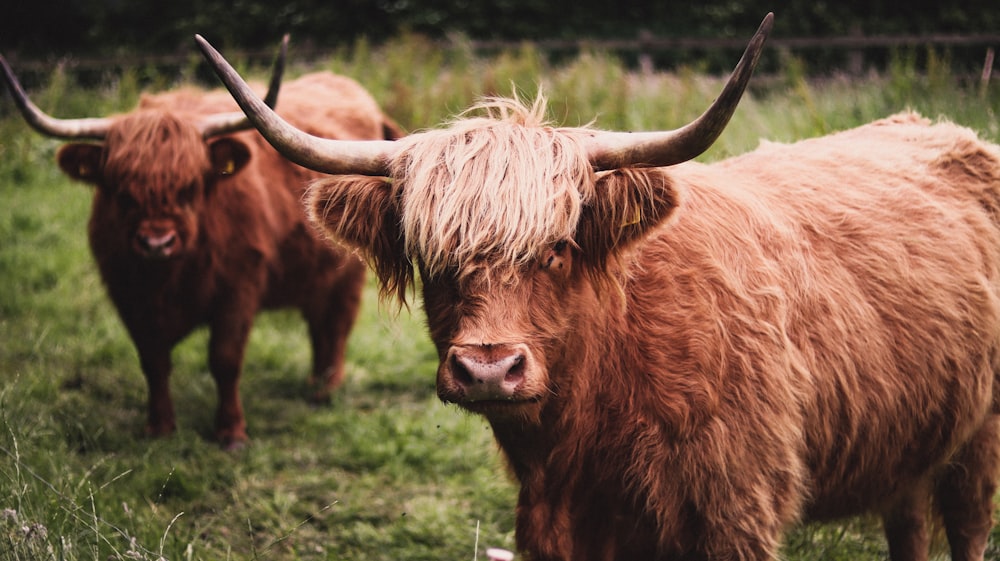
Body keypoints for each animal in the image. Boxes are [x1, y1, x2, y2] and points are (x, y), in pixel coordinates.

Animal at [1, 40, 406, 446]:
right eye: (121, 190)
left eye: (190, 186)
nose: (157, 242)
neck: (169, 278)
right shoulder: (127, 293)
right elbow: (153, 360)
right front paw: (159, 427)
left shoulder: (238, 288)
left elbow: (224, 359)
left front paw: (231, 433)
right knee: (317, 322)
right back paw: (315, 383)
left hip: (349, 273)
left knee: (336, 323)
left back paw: (326, 391)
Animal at [195, 14, 1000, 560]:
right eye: (434, 256)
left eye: (557, 248)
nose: (488, 367)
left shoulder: (737, 511)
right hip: (909, 437)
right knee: (908, 523)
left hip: (979, 440)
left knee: (964, 526)